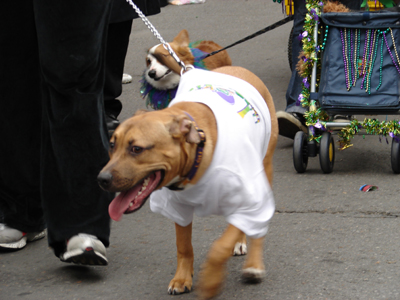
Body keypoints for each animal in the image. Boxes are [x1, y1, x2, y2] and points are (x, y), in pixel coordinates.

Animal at [98, 65, 276, 298]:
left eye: (136, 149)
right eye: (112, 145)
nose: (101, 179)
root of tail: (237, 68)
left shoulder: (250, 198)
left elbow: (219, 247)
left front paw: (210, 280)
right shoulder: (176, 206)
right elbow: (183, 246)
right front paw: (182, 278)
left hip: (264, 170)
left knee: (256, 226)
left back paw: (253, 264)